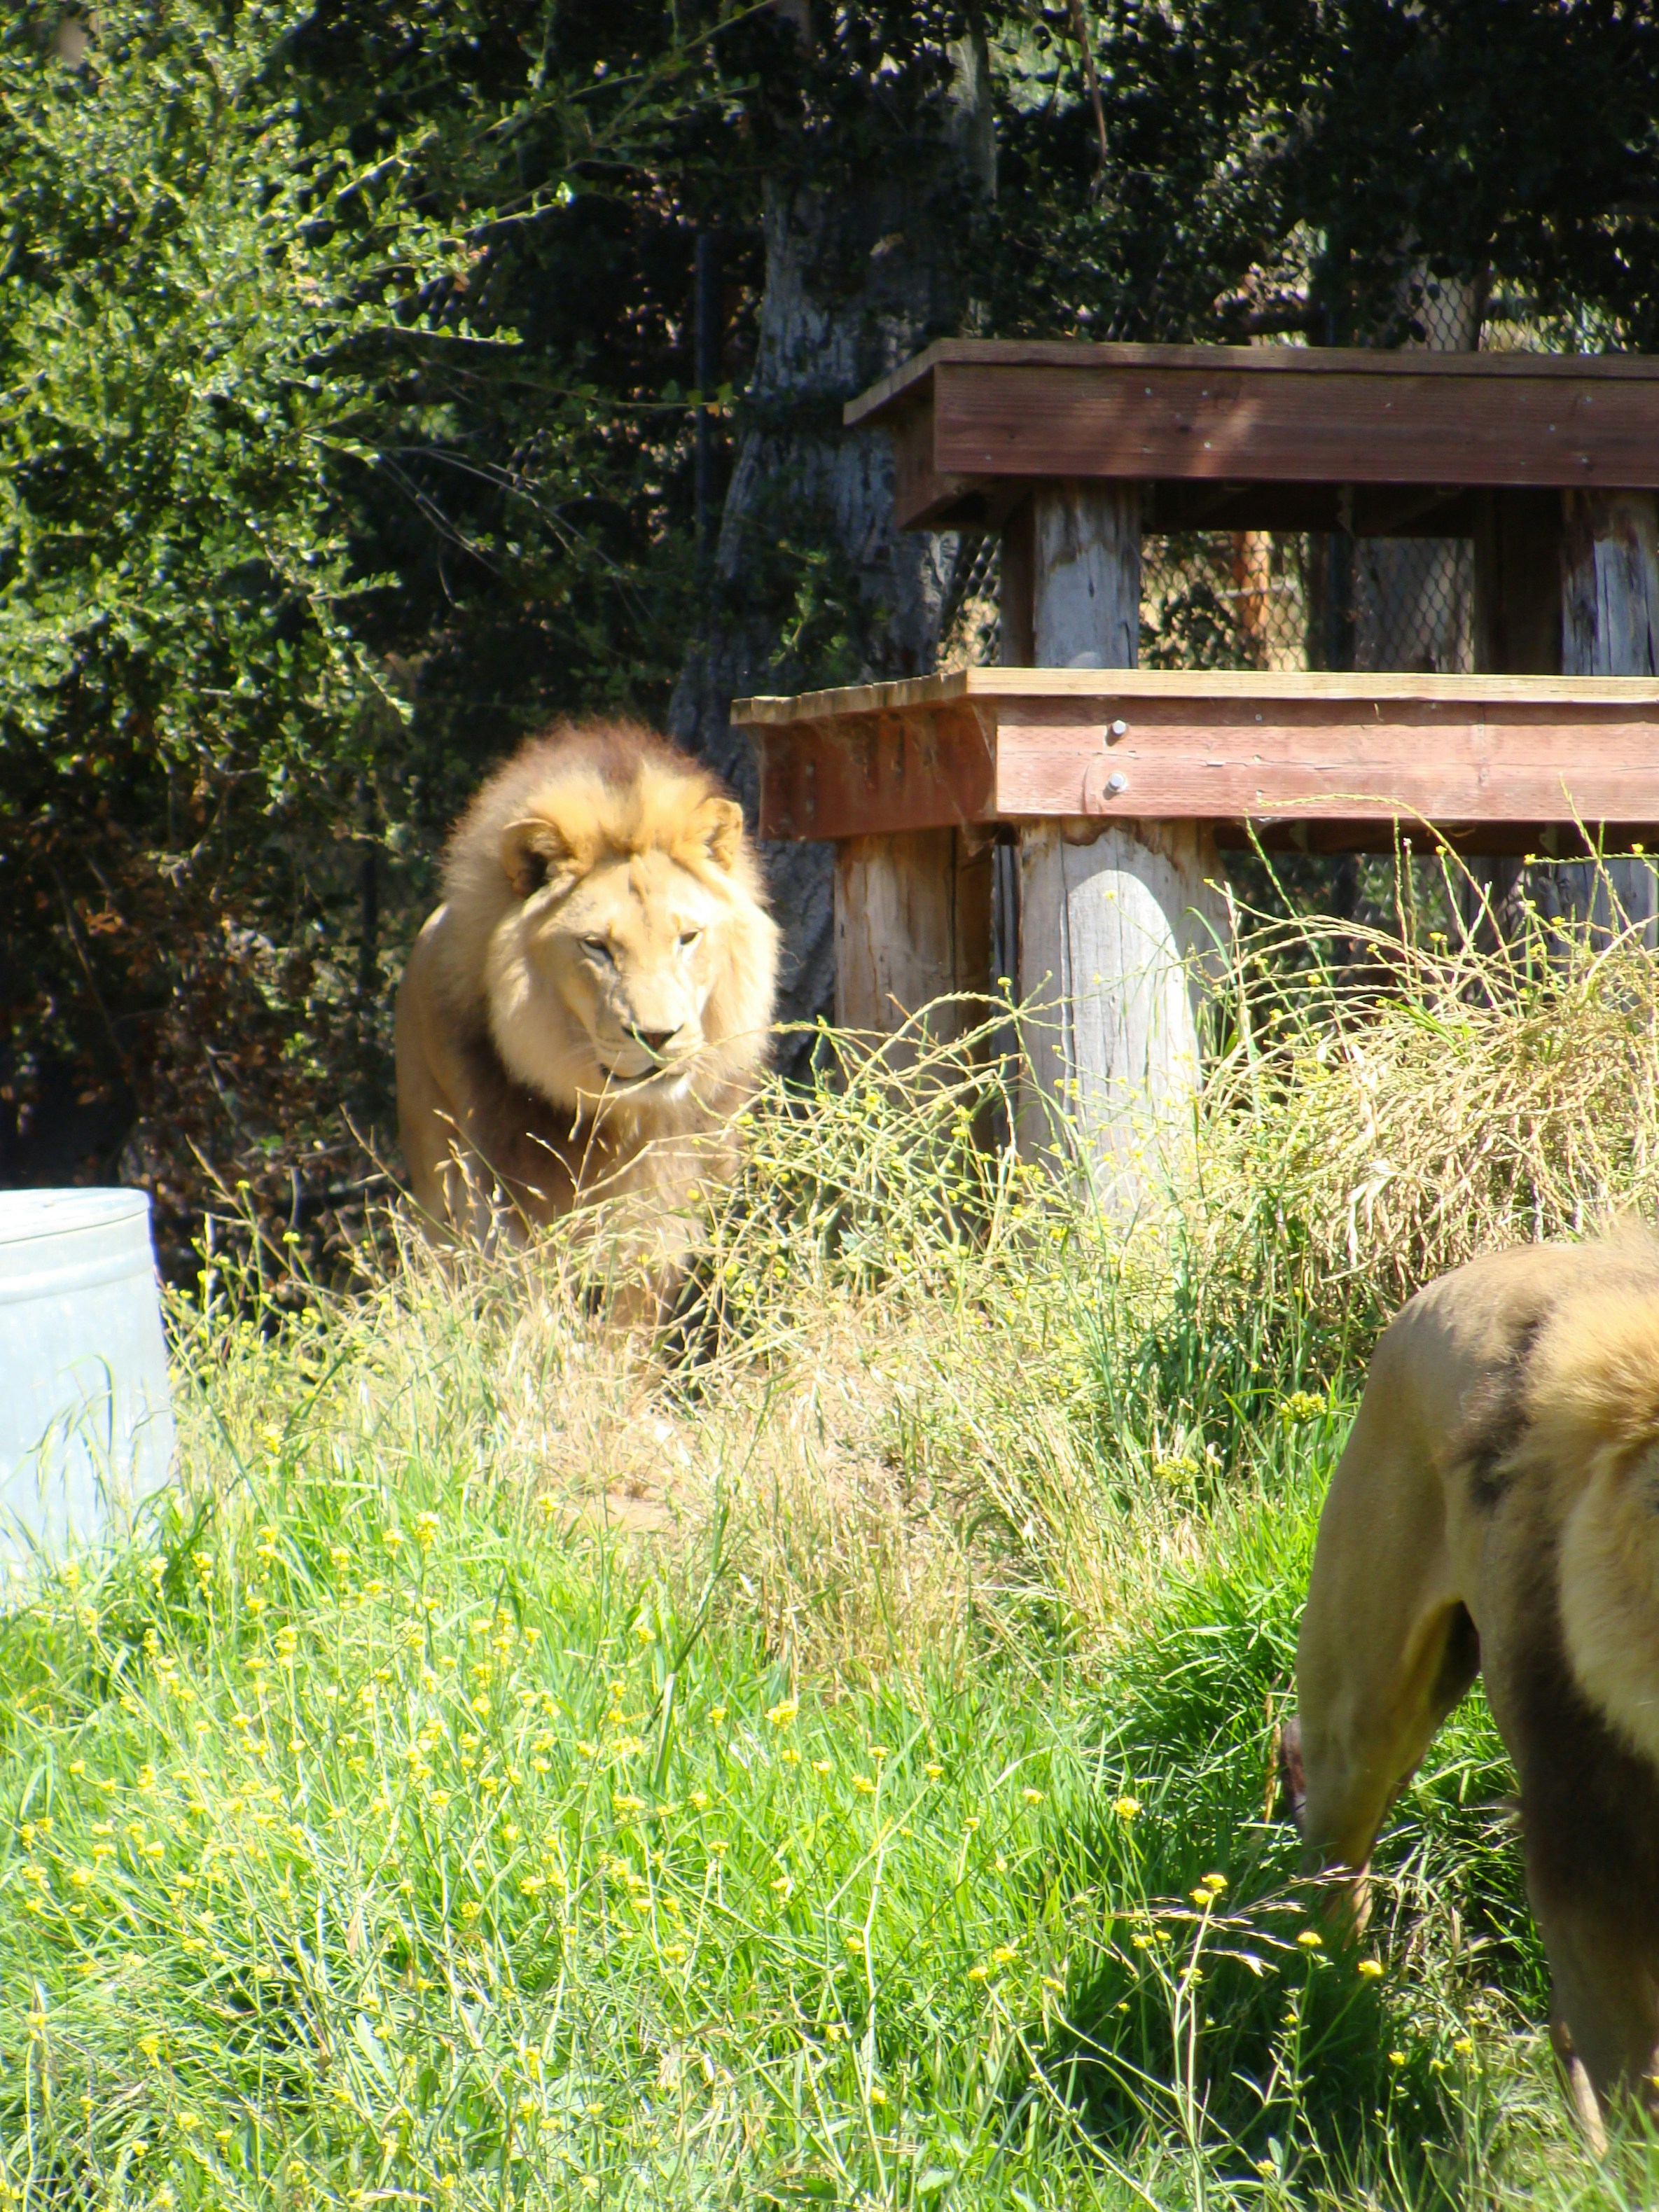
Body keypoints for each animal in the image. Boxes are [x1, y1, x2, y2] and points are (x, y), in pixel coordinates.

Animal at [395, 719, 778, 1289]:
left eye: (687, 938)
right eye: (596, 946)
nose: (658, 1036)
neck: (629, 1121)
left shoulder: (664, 1223)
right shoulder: (521, 1205)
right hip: (437, 1168)